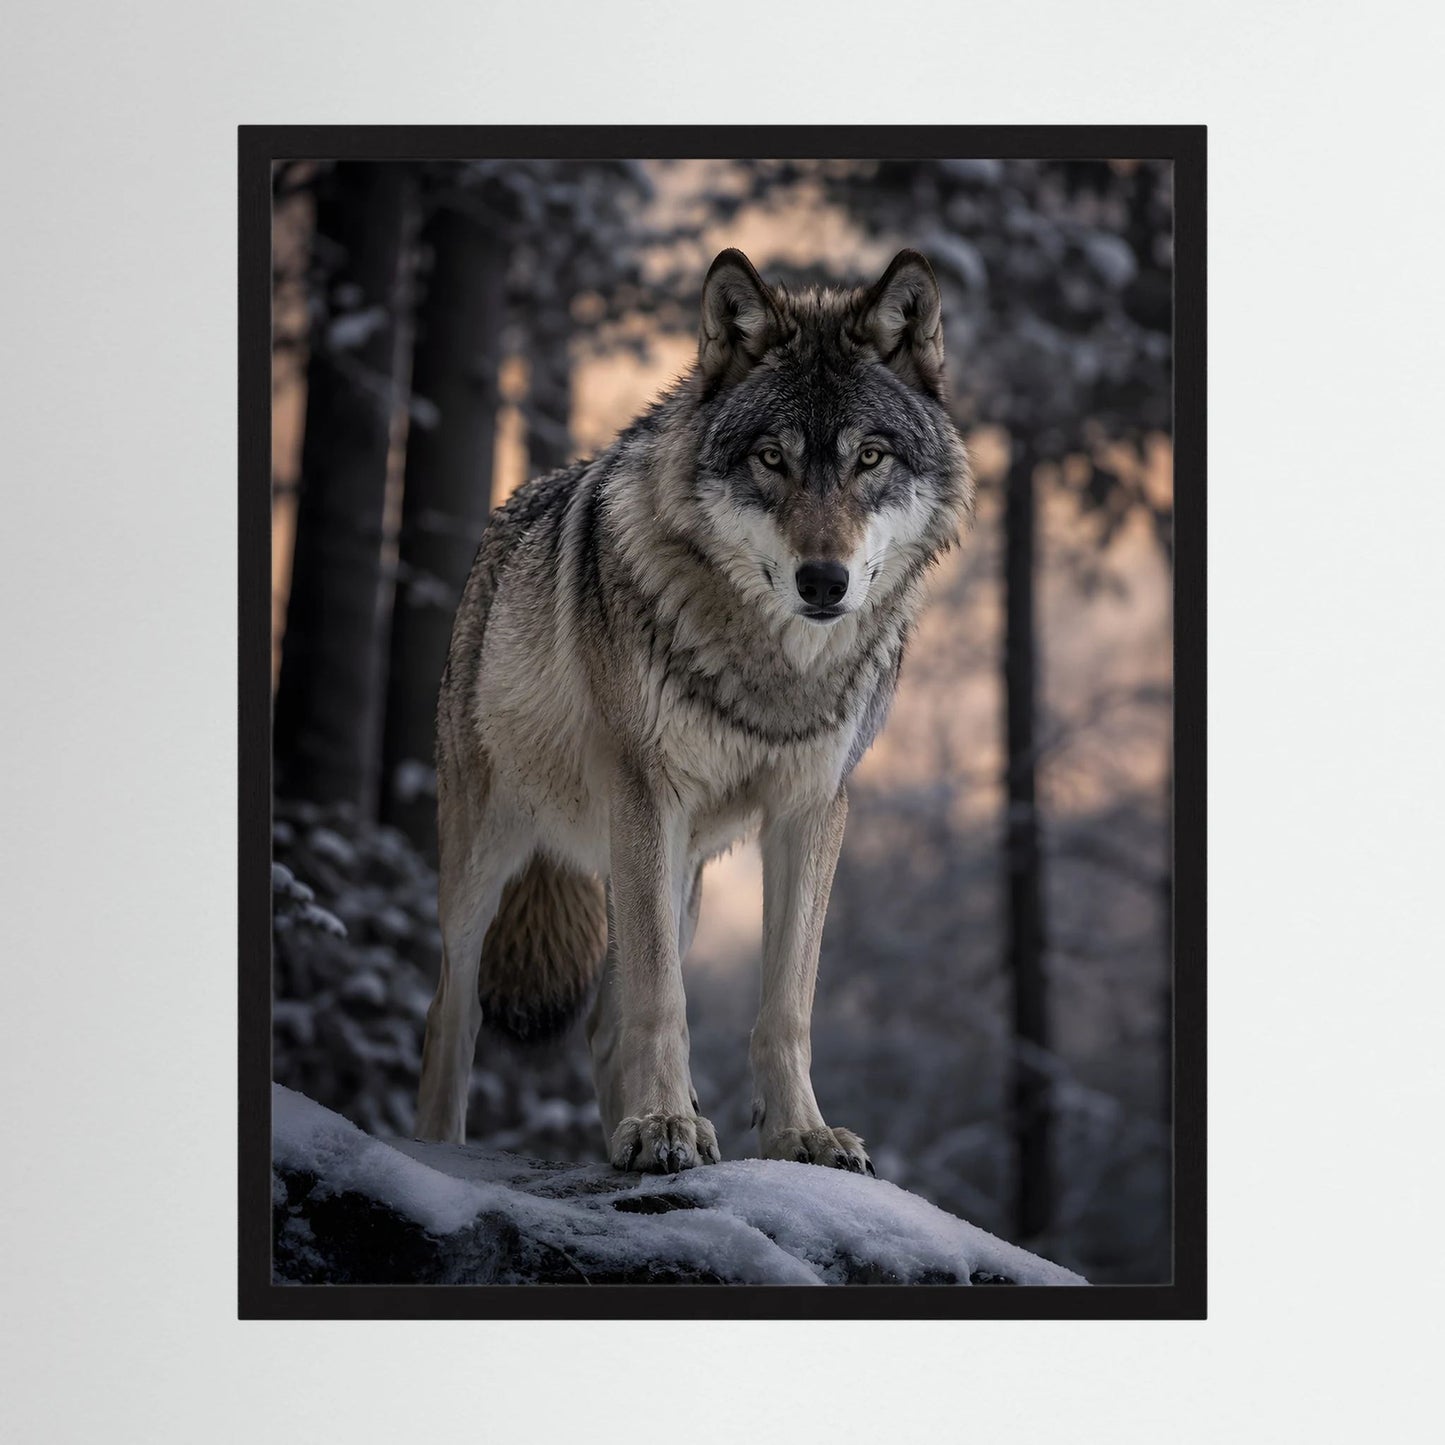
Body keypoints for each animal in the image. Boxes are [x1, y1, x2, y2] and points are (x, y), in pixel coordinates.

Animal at [415, 247, 973, 1175]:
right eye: (771, 458)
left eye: (869, 456)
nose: (823, 580)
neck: (772, 667)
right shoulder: (648, 795)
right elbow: (662, 999)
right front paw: (664, 1124)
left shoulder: (811, 810)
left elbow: (784, 1005)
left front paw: (800, 1135)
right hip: (493, 857)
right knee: (451, 1012)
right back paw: (444, 1149)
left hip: (680, 877)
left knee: (603, 1024)